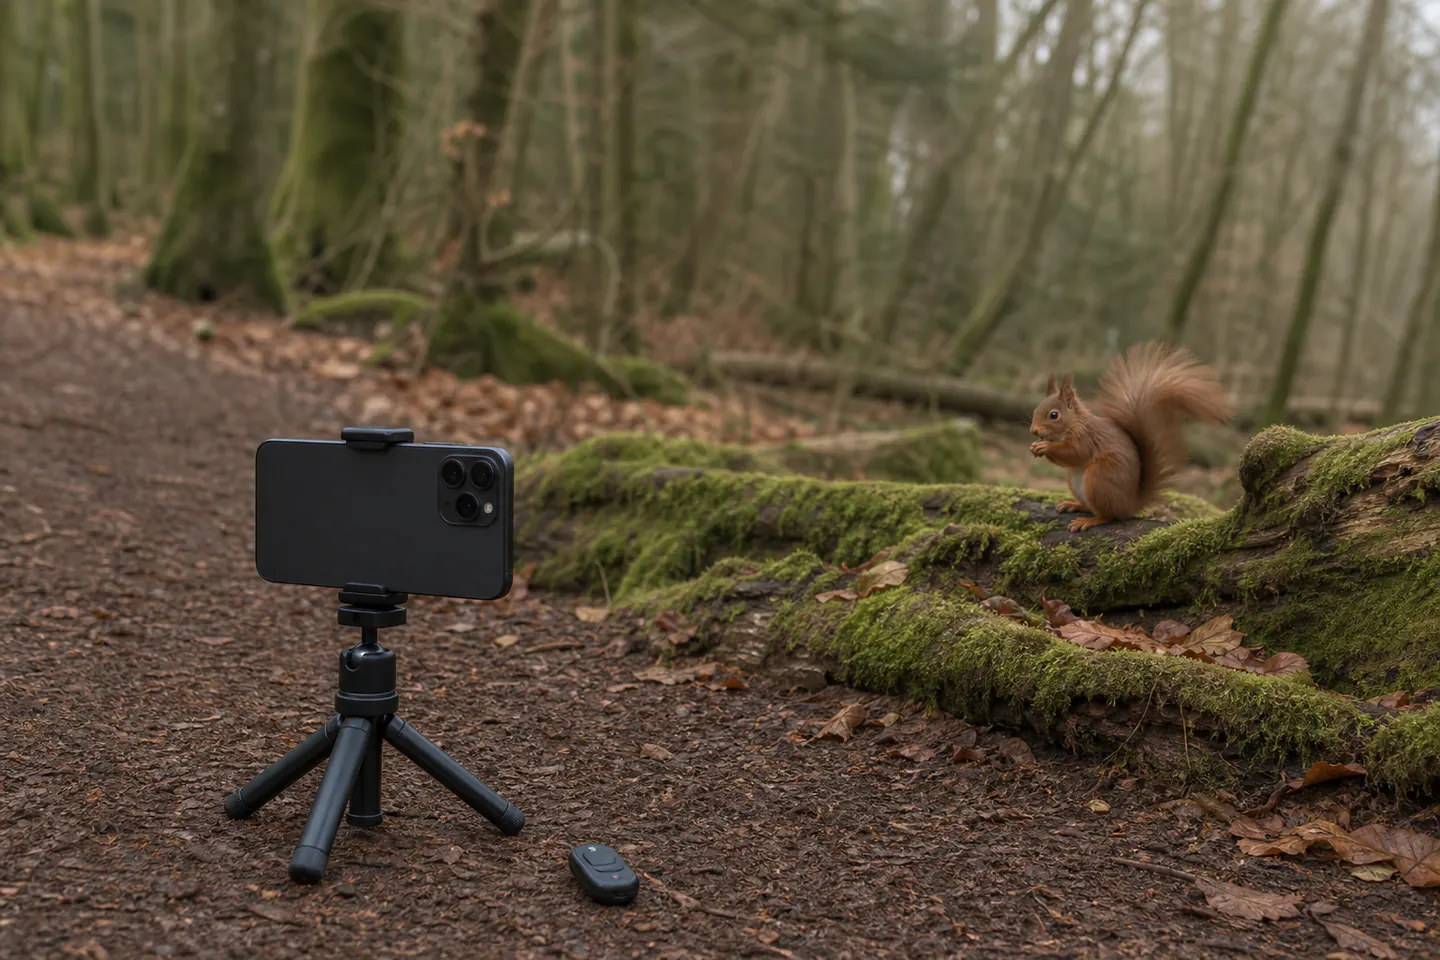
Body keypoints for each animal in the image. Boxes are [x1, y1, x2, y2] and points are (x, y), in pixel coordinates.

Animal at [1029, 340, 1233, 532]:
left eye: (1054, 415)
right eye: (1035, 409)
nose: (1034, 431)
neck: (1073, 423)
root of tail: (1130, 504)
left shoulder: (1086, 438)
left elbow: (1075, 453)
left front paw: (1045, 447)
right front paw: (1035, 447)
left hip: (1099, 478)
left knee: (1108, 515)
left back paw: (1089, 520)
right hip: (1075, 480)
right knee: (1091, 507)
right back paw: (1074, 505)